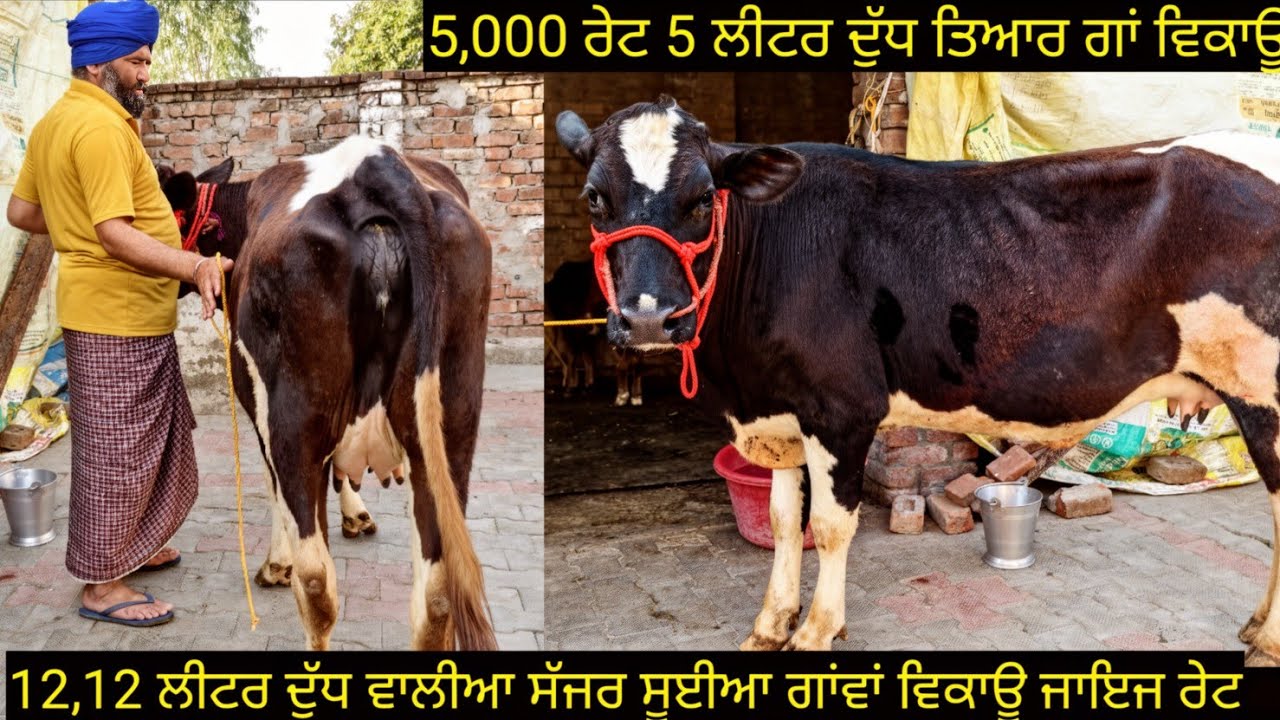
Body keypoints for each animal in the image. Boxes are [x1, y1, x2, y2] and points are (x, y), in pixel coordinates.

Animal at [159, 135, 496, 650]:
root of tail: (376, 165)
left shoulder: (260, 408)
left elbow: (273, 484)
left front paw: (277, 563)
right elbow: (342, 472)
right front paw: (356, 513)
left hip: (296, 416)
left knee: (317, 581)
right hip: (452, 423)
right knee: (436, 595)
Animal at [556, 96, 1280, 665]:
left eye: (705, 198)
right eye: (595, 198)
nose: (647, 318)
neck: (738, 376)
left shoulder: (842, 407)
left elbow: (831, 526)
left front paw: (817, 631)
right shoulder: (778, 411)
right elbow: (785, 522)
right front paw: (769, 626)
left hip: (1264, 394)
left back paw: (1267, 640)